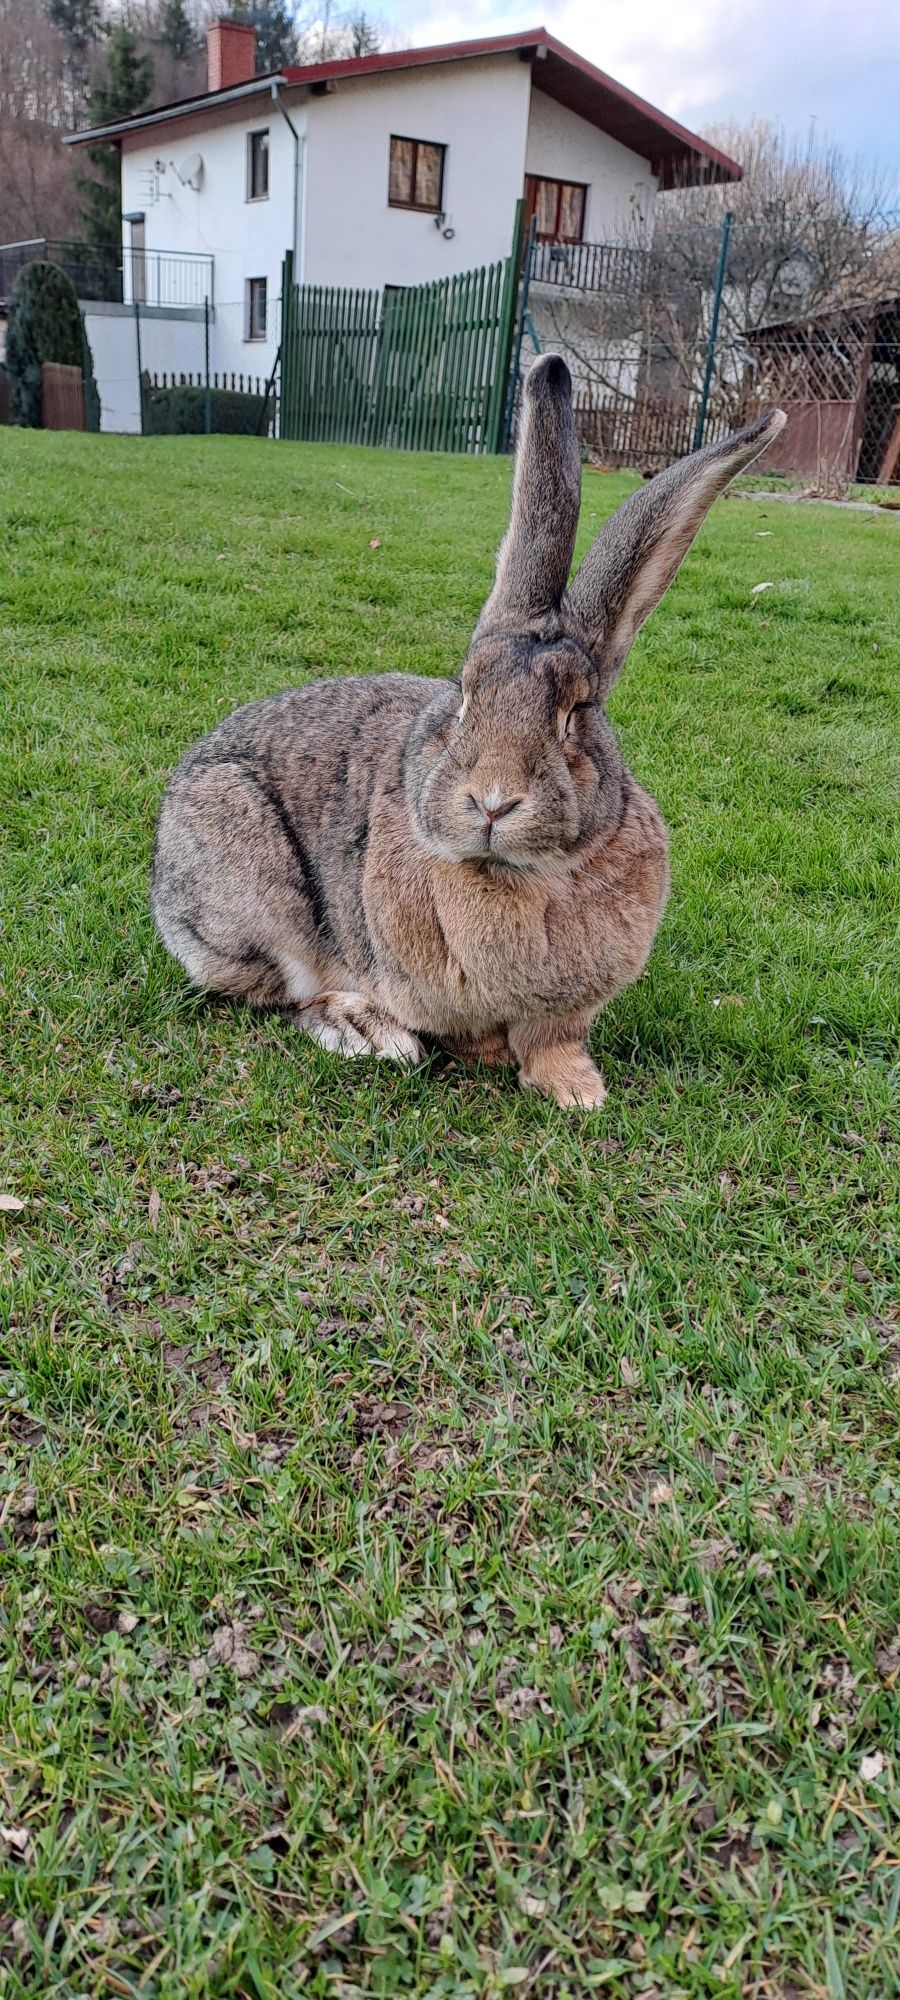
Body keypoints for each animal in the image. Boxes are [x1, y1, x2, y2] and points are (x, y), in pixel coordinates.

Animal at [151, 360, 784, 1112]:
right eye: (464, 697)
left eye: (575, 714)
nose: (491, 801)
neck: (525, 876)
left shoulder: (566, 1013)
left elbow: (554, 1042)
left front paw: (577, 1091)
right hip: (248, 879)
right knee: (281, 990)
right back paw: (370, 1035)